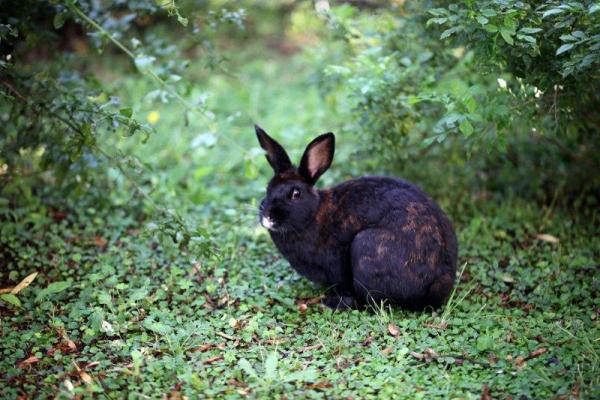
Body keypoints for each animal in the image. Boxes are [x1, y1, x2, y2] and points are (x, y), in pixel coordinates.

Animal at [255, 125, 458, 310]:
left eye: (296, 194)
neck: (313, 215)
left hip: (366, 246)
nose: (268, 216)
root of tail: (438, 281)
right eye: (268, 188)